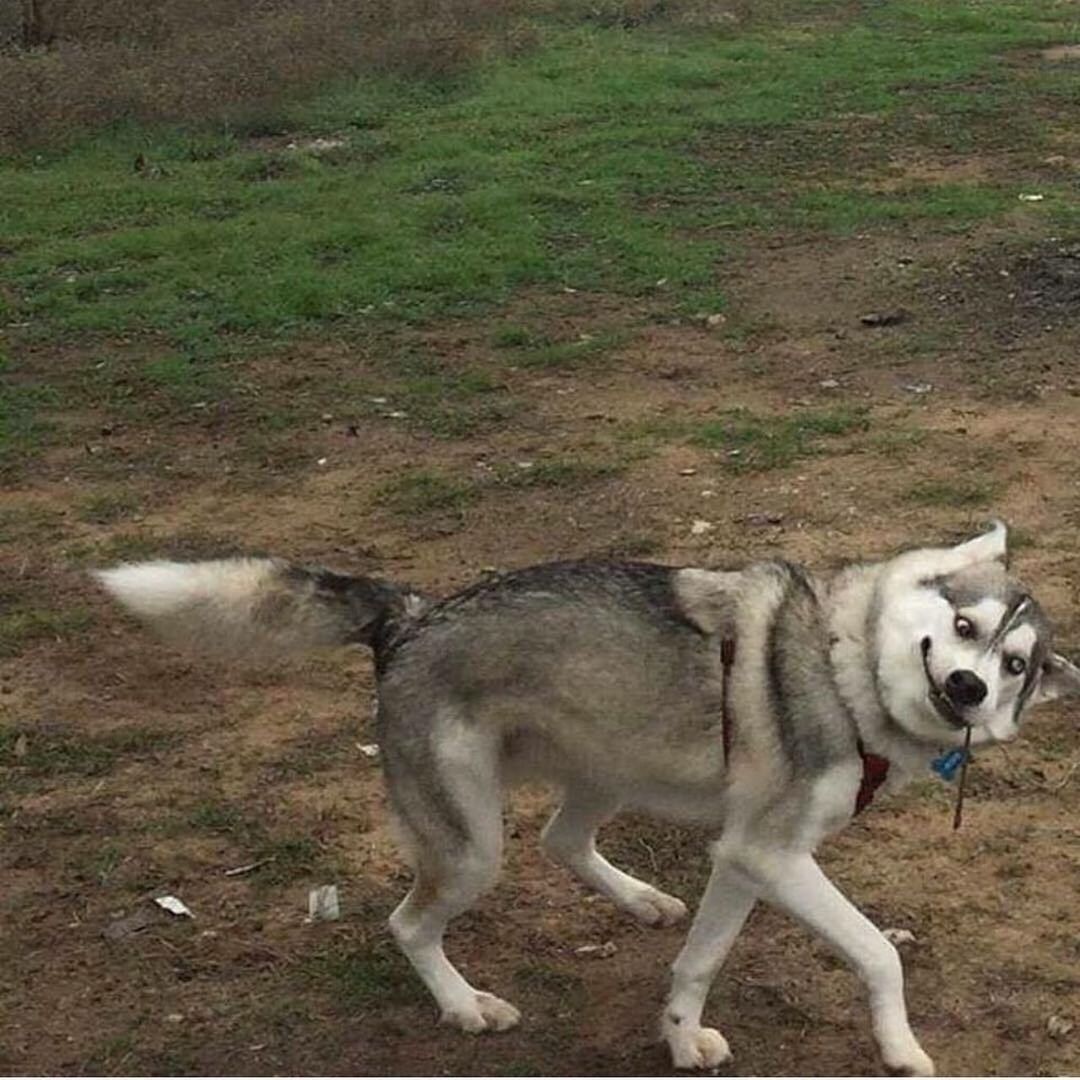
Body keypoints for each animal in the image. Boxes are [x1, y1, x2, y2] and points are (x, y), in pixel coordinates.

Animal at [97, 520, 1075, 1071]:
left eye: (1016, 666)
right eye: (964, 627)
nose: (969, 689)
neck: (848, 671)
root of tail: (409, 615)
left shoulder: (748, 859)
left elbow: (699, 962)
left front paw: (679, 1037)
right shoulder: (773, 855)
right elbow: (878, 954)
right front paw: (902, 1050)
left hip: (607, 768)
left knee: (561, 843)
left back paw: (639, 900)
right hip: (471, 847)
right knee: (410, 923)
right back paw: (465, 1006)